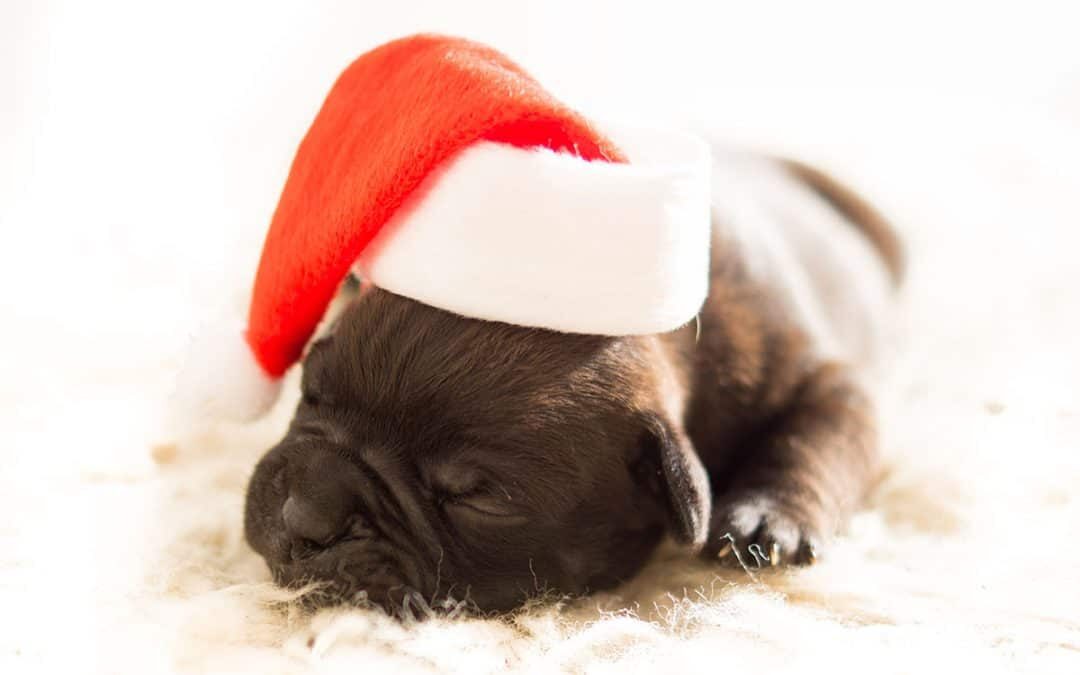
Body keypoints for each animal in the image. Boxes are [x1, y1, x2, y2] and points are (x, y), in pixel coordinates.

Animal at [243, 150, 902, 613]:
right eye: (311, 391)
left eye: (477, 499)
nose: (305, 515)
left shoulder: (819, 375)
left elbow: (817, 435)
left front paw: (770, 516)